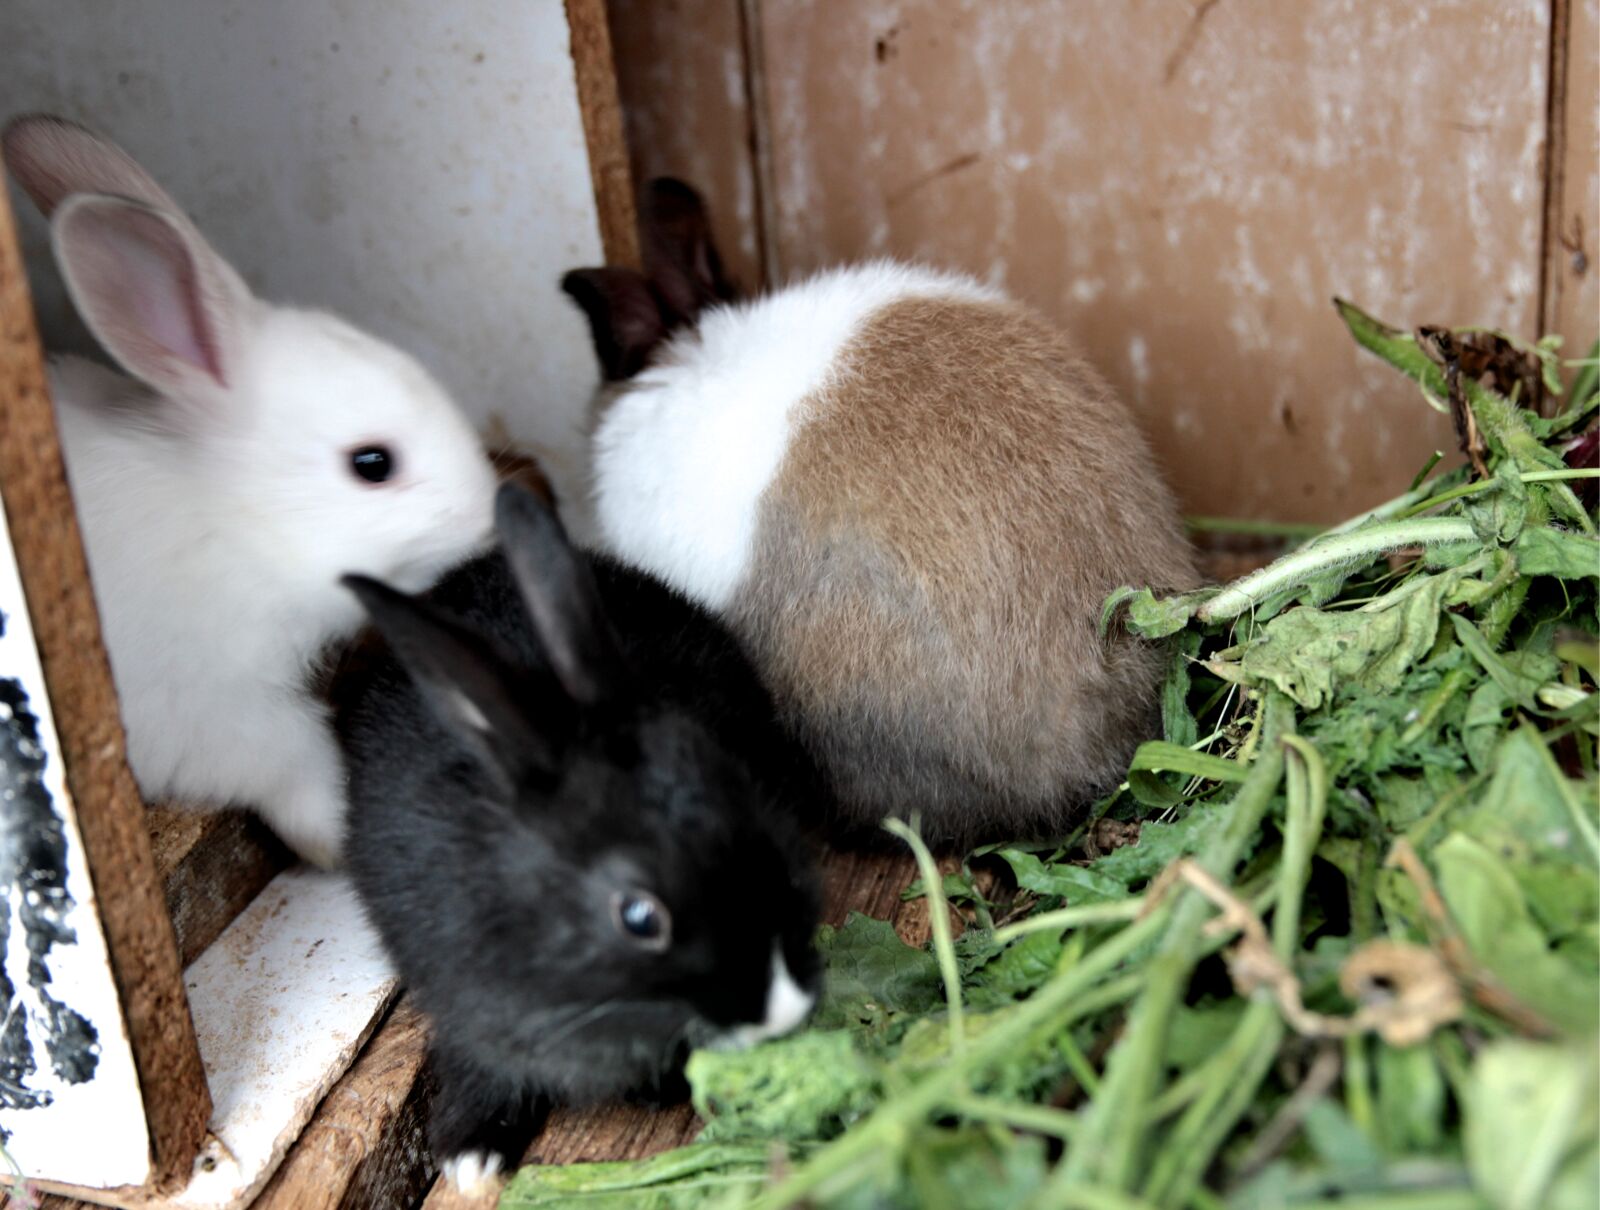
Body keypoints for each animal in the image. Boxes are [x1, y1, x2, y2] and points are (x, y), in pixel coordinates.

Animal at [1, 114, 498, 866]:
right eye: (372, 463)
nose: (486, 513)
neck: (232, 525)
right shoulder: (204, 713)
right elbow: (292, 762)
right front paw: (335, 842)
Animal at [337, 482, 821, 1191]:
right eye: (640, 917)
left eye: (771, 835)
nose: (783, 1010)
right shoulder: (466, 1007)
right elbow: (479, 1066)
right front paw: (471, 1155)